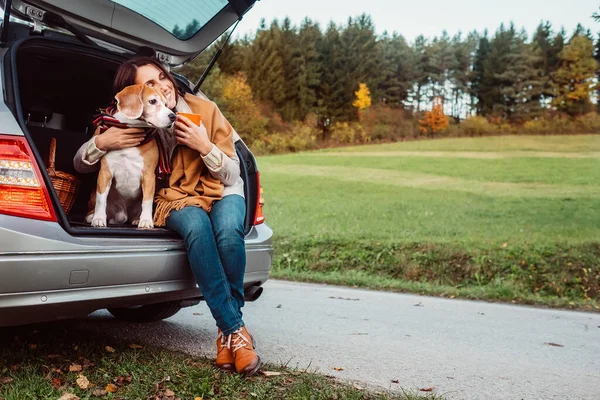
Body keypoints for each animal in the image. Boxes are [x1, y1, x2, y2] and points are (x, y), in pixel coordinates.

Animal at [86, 84, 176, 228]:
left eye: (166, 104)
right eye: (152, 101)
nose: (173, 116)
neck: (131, 129)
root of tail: (123, 215)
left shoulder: (149, 176)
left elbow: (147, 201)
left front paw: (146, 221)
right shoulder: (105, 173)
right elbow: (101, 200)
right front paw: (98, 218)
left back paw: (136, 219)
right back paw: (91, 216)